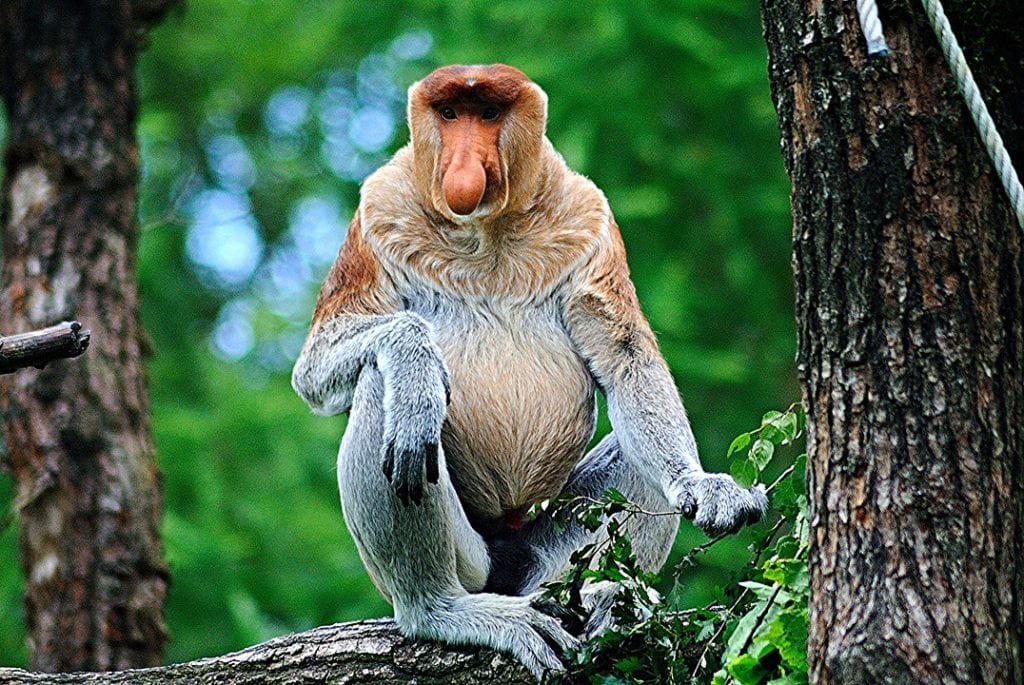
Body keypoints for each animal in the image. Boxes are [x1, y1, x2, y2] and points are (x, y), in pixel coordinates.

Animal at [292, 64, 767, 679]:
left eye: (490, 114)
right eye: (450, 114)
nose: (463, 168)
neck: (487, 230)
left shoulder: (590, 215)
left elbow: (626, 359)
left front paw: (703, 486)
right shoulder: (378, 208)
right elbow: (316, 368)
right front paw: (413, 358)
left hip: (549, 552)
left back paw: (606, 598)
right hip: (468, 557)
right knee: (382, 388)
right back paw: (441, 608)